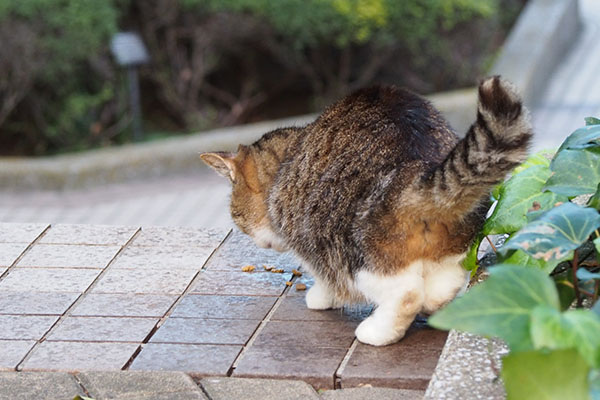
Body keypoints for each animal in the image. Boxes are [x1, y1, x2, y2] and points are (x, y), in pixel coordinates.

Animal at [200, 76, 528, 346]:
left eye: (238, 219)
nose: (256, 242)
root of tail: (417, 166)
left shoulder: (310, 245)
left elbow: (324, 279)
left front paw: (320, 297)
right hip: (459, 243)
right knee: (443, 287)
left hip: (352, 251)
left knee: (406, 294)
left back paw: (377, 332)